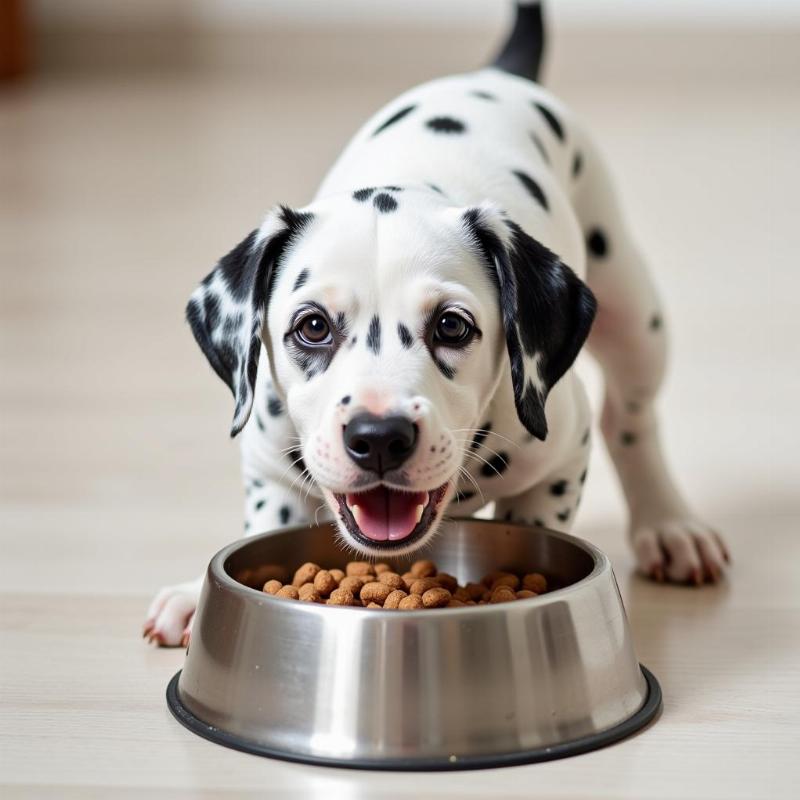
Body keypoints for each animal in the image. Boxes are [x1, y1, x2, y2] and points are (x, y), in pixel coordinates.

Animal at [141, 1, 728, 648]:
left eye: (451, 326)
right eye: (312, 327)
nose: (378, 437)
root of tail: (495, 74)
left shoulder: (560, 458)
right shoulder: (270, 468)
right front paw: (193, 597)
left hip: (633, 313)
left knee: (630, 419)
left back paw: (668, 523)